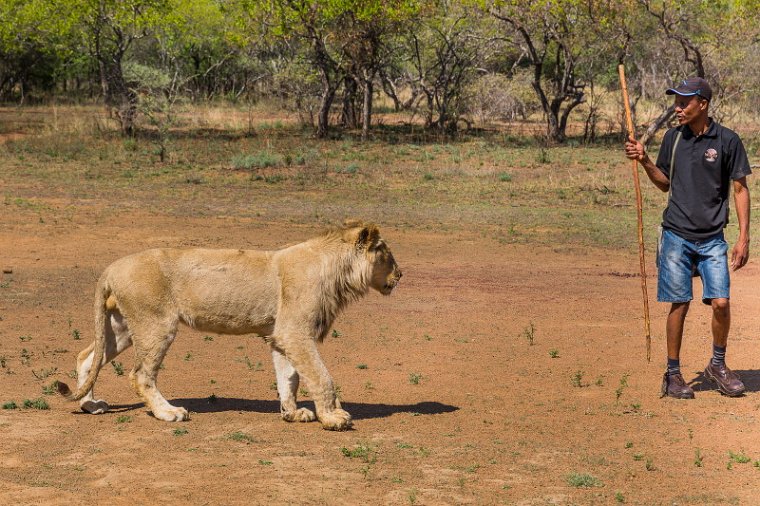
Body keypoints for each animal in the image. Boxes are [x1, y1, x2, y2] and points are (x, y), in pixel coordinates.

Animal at [56, 221, 400, 430]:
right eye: (387, 254)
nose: (401, 274)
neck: (336, 271)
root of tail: (111, 267)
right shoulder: (296, 333)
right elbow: (320, 376)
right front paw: (333, 416)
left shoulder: (280, 335)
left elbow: (288, 378)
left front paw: (292, 413)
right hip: (156, 324)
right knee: (140, 374)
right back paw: (169, 412)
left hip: (123, 326)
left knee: (87, 357)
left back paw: (91, 405)